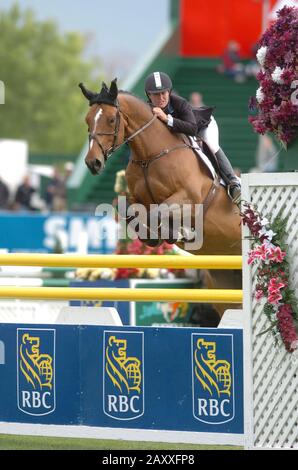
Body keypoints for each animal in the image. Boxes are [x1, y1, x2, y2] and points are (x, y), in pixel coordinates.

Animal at [79, 79, 242, 318]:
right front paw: (151, 237)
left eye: (110, 119)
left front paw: (177, 232)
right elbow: (129, 210)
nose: (93, 163)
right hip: (225, 281)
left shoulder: (189, 199)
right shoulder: (136, 197)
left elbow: (158, 212)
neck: (150, 155)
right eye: (88, 120)